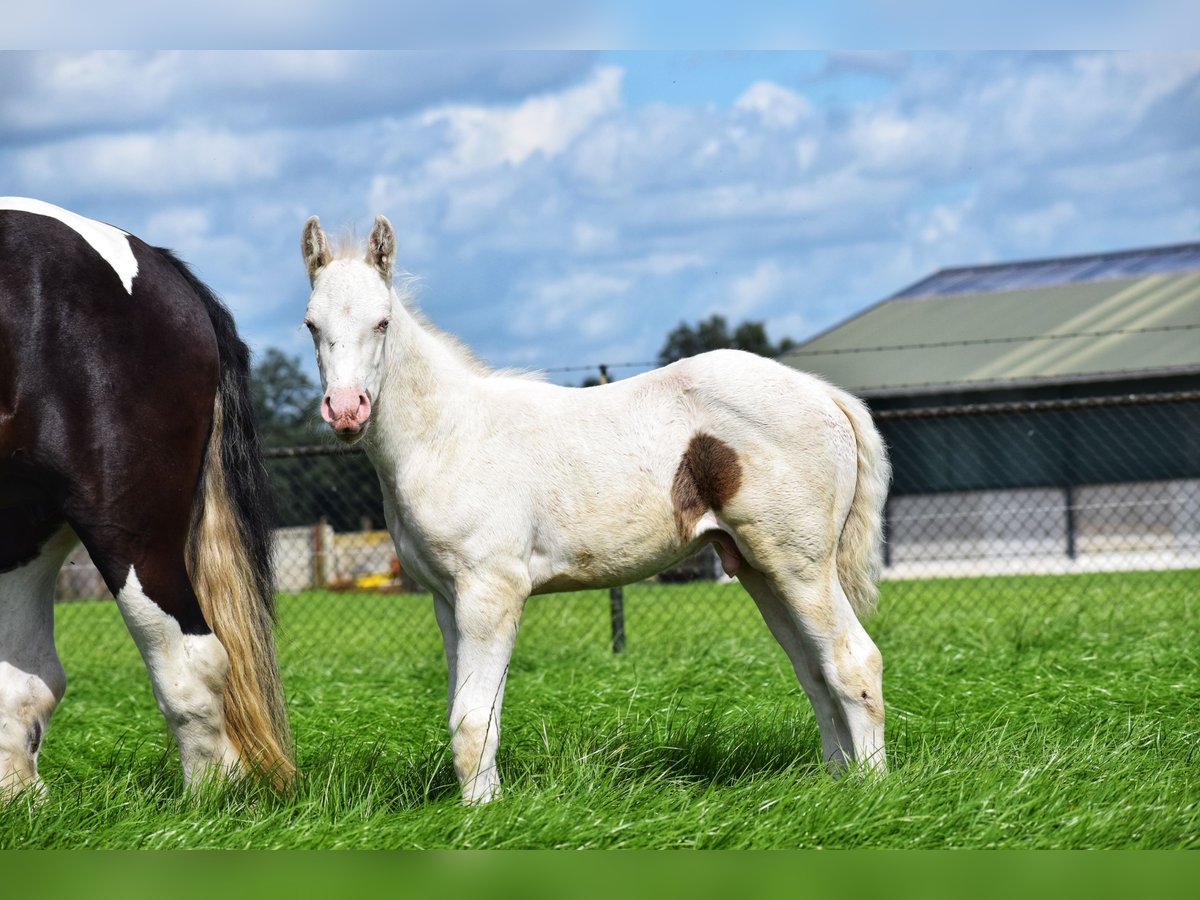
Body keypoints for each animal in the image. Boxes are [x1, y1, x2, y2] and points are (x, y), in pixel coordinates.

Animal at [298, 214, 888, 806]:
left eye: (382, 322)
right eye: (310, 324)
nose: (346, 410)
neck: (448, 434)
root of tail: (825, 395)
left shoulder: (491, 591)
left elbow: (471, 719)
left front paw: (481, 813)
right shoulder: (447, 599)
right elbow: (469, 710)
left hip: (801, 566)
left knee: (852, 661)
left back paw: (872, 791)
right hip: (757, 566)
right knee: (813, 670)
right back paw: (839, 783)